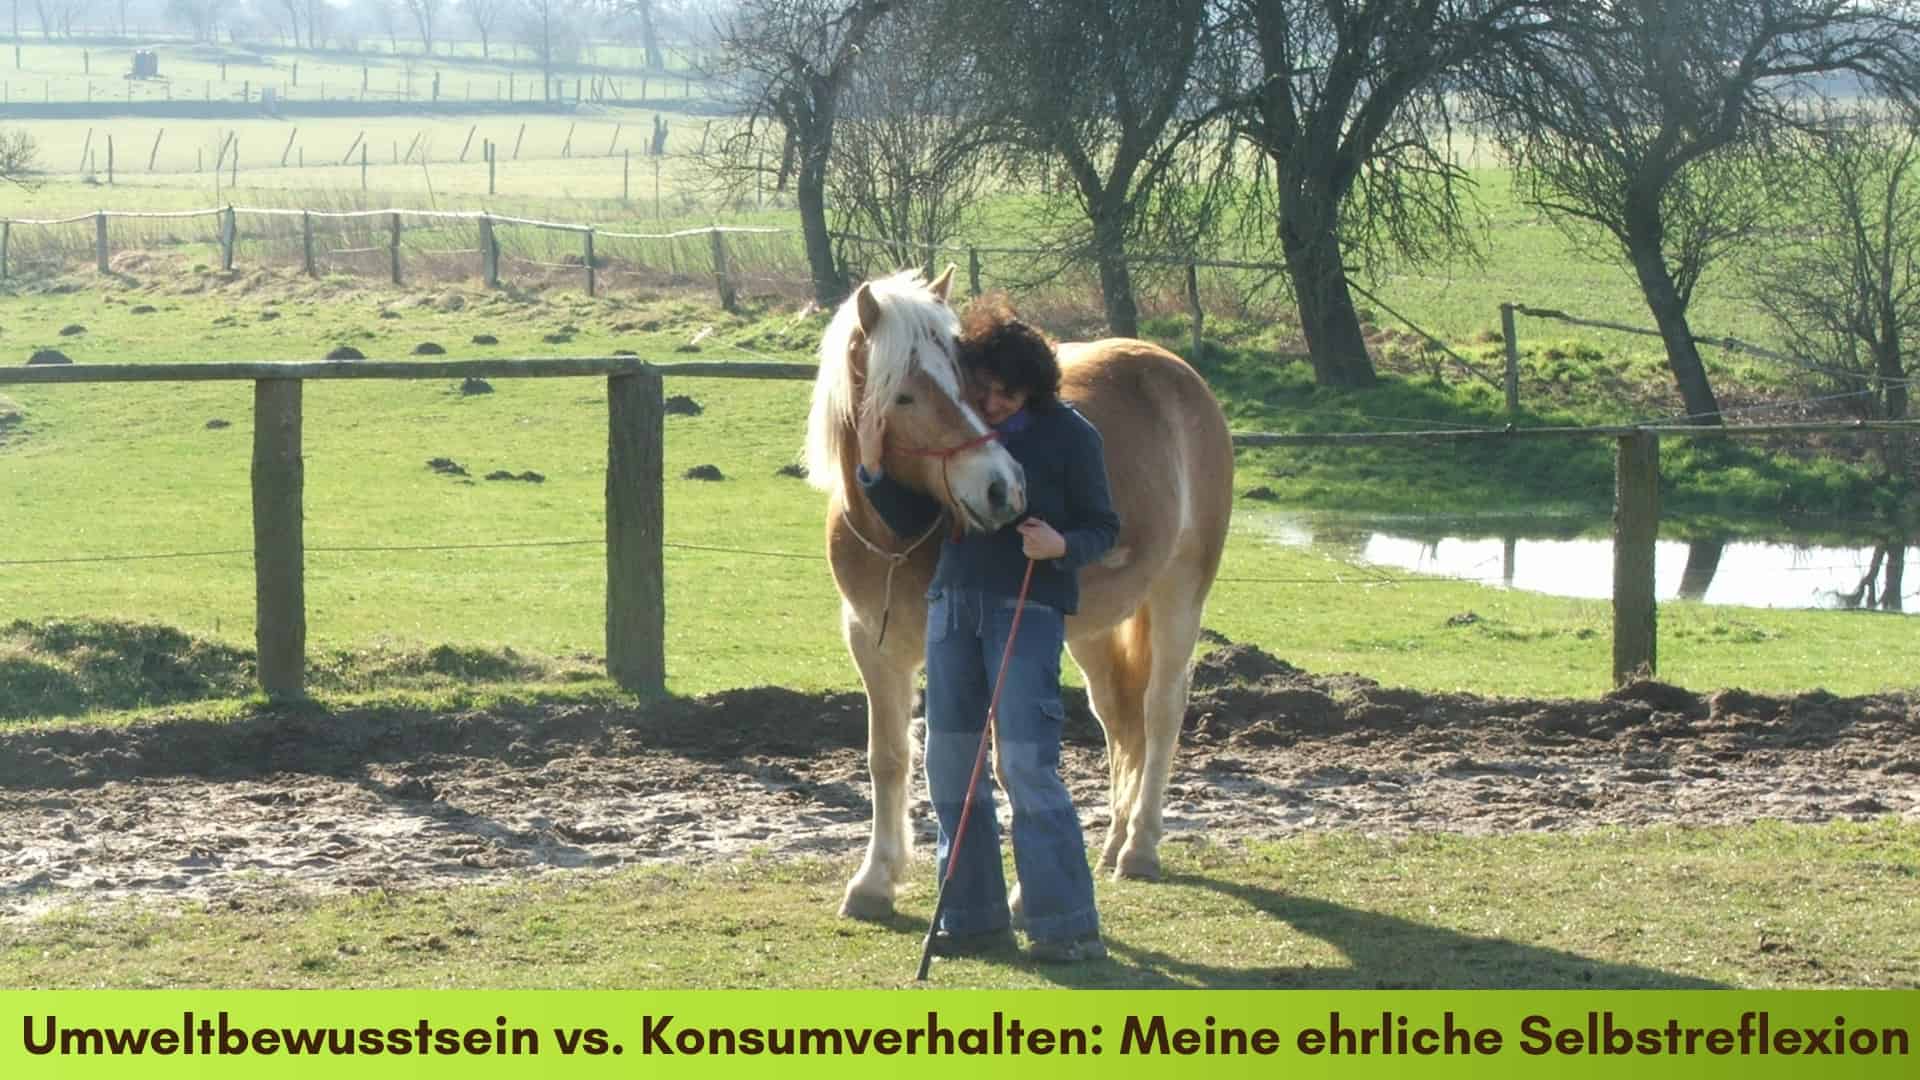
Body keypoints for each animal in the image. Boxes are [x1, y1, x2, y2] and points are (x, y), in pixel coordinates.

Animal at [806, 265, 1236, 910]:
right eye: (903, 395)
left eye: (966, 381)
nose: (1002, 487)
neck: (895, 535)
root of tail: (1176, 372)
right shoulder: (873, 646)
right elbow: (889, 758)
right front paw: (875, 881)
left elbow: (1000, 767)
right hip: (1091, 629)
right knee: (1118, 714)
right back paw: (1114, 839)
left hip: (1180, 593)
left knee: (1161, 710)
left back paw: (1139, 848)